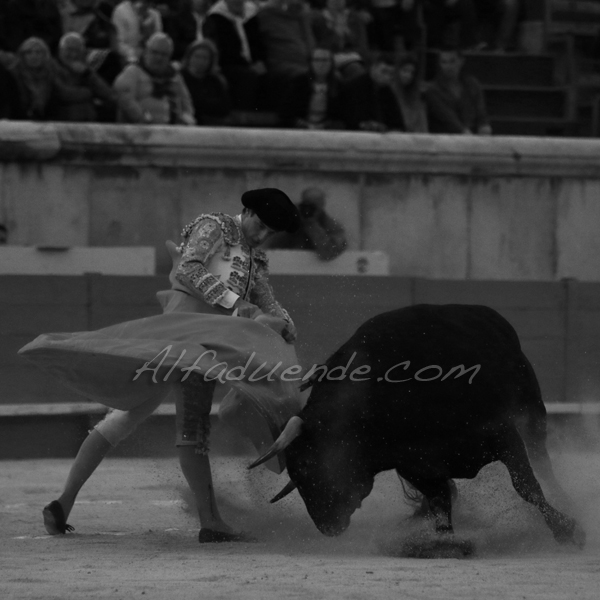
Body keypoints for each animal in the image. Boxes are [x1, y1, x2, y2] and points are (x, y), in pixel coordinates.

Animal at [250, 308, 584, 548]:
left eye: (307, 464)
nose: (325, 525)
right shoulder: (416, 466)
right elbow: (440, 503)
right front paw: (444, 540)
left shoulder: (503, 436)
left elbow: (526, 486)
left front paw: (567, 529)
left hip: (533, 414)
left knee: (543, 463)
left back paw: (567, 502)